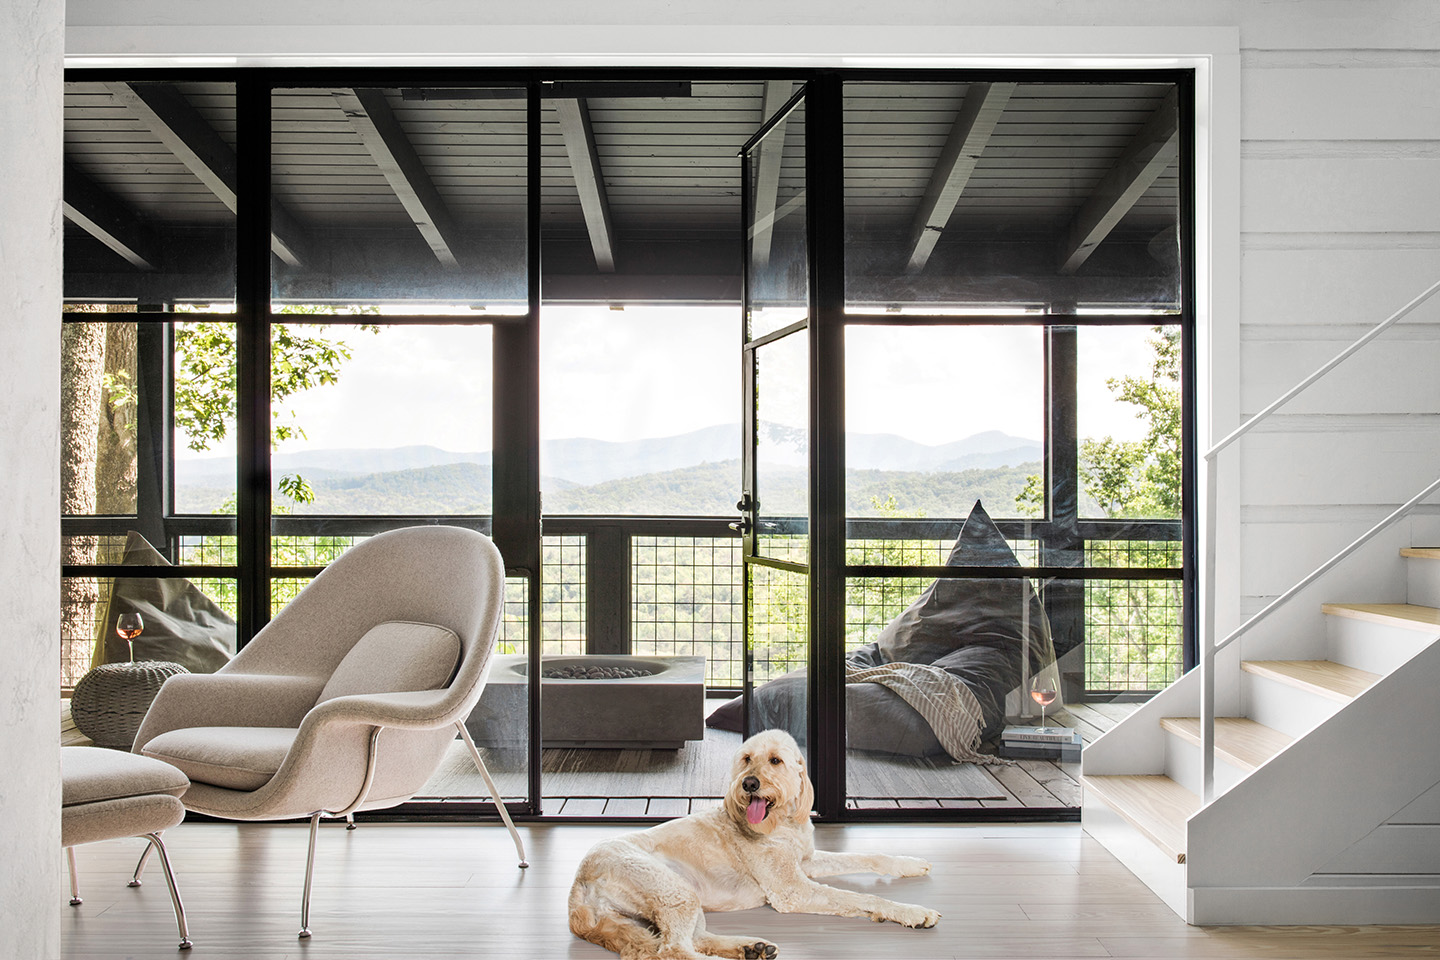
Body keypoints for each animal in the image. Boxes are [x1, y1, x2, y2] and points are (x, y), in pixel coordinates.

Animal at [567, 731, 938, 955]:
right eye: (746, 759)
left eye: (775, 760)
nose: (748, 784)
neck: (782, 823)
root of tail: (577, 887)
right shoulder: (793, 891)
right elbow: (860, 897)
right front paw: (912, 911)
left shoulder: (806, 862)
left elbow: (869, 856)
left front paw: (908, 864)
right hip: (673, 890)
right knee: (675, 951)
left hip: (672, 902)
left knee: (692, 940)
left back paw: (750, 948)